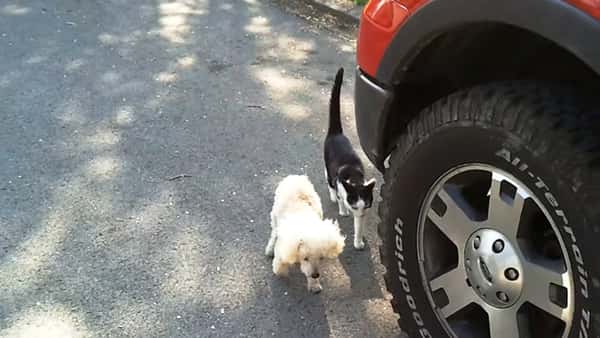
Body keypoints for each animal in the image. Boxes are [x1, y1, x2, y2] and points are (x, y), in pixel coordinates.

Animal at [324, 67, 376, 250]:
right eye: (354, 206)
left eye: (366, 206)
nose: (359, 214)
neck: (353, 177)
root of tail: (336, 133)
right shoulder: (340, 185)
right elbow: (341, 199)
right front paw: (344, 210)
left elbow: (359, 227)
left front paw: (358, 242)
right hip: (327, 165)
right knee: (328, 180)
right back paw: (333, 196)